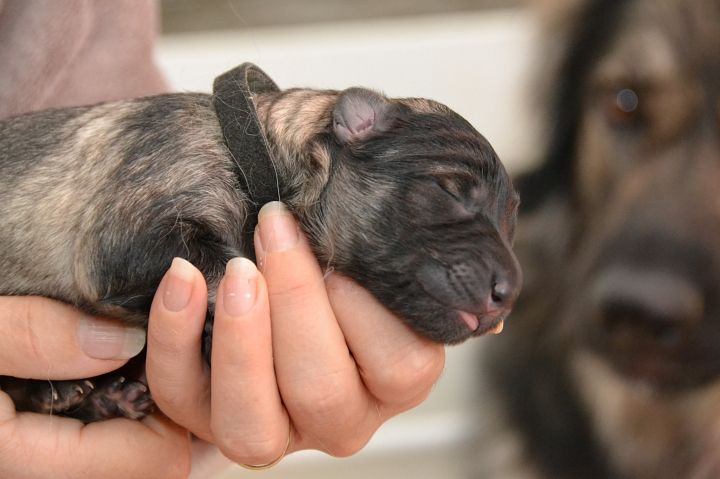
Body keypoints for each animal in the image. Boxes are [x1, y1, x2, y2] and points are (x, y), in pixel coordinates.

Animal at [0, 63, 520, 421]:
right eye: (449, 191)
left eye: (512, 222)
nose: (510, 292)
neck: (259, 152)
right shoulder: (134, 234)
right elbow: (233, 267)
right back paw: (58, 390)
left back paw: (106, 398)